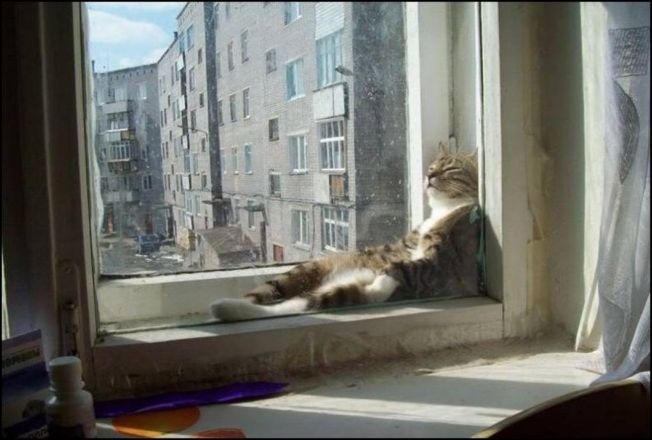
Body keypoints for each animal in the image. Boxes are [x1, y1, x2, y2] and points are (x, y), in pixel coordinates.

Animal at [210, 144, 480, 322]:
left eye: (451, 168)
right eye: (432, 166)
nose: (429, 175)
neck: (444, 208)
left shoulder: (439, 263)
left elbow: (402, 267)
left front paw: (384, 279)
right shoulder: (402, 247)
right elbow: (393, 259)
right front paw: (382, 273)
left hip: (337, 291)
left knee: (299, 305)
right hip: (308, 269)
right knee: (269, 296)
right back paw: (227, 307)